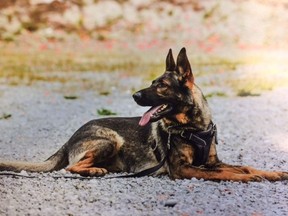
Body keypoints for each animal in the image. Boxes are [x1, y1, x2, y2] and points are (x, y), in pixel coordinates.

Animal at [0, 48, 288, 181]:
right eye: (152, 83)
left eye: (161, 86)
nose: (134, 96)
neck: (193, 128)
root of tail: (71, 137)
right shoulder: (183, 169)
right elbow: (227, 173)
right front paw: (249, 177)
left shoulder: (212, 162)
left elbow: (243, 165)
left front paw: (271, 173)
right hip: (110, 140)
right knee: (72, 167)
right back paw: (94, 170)